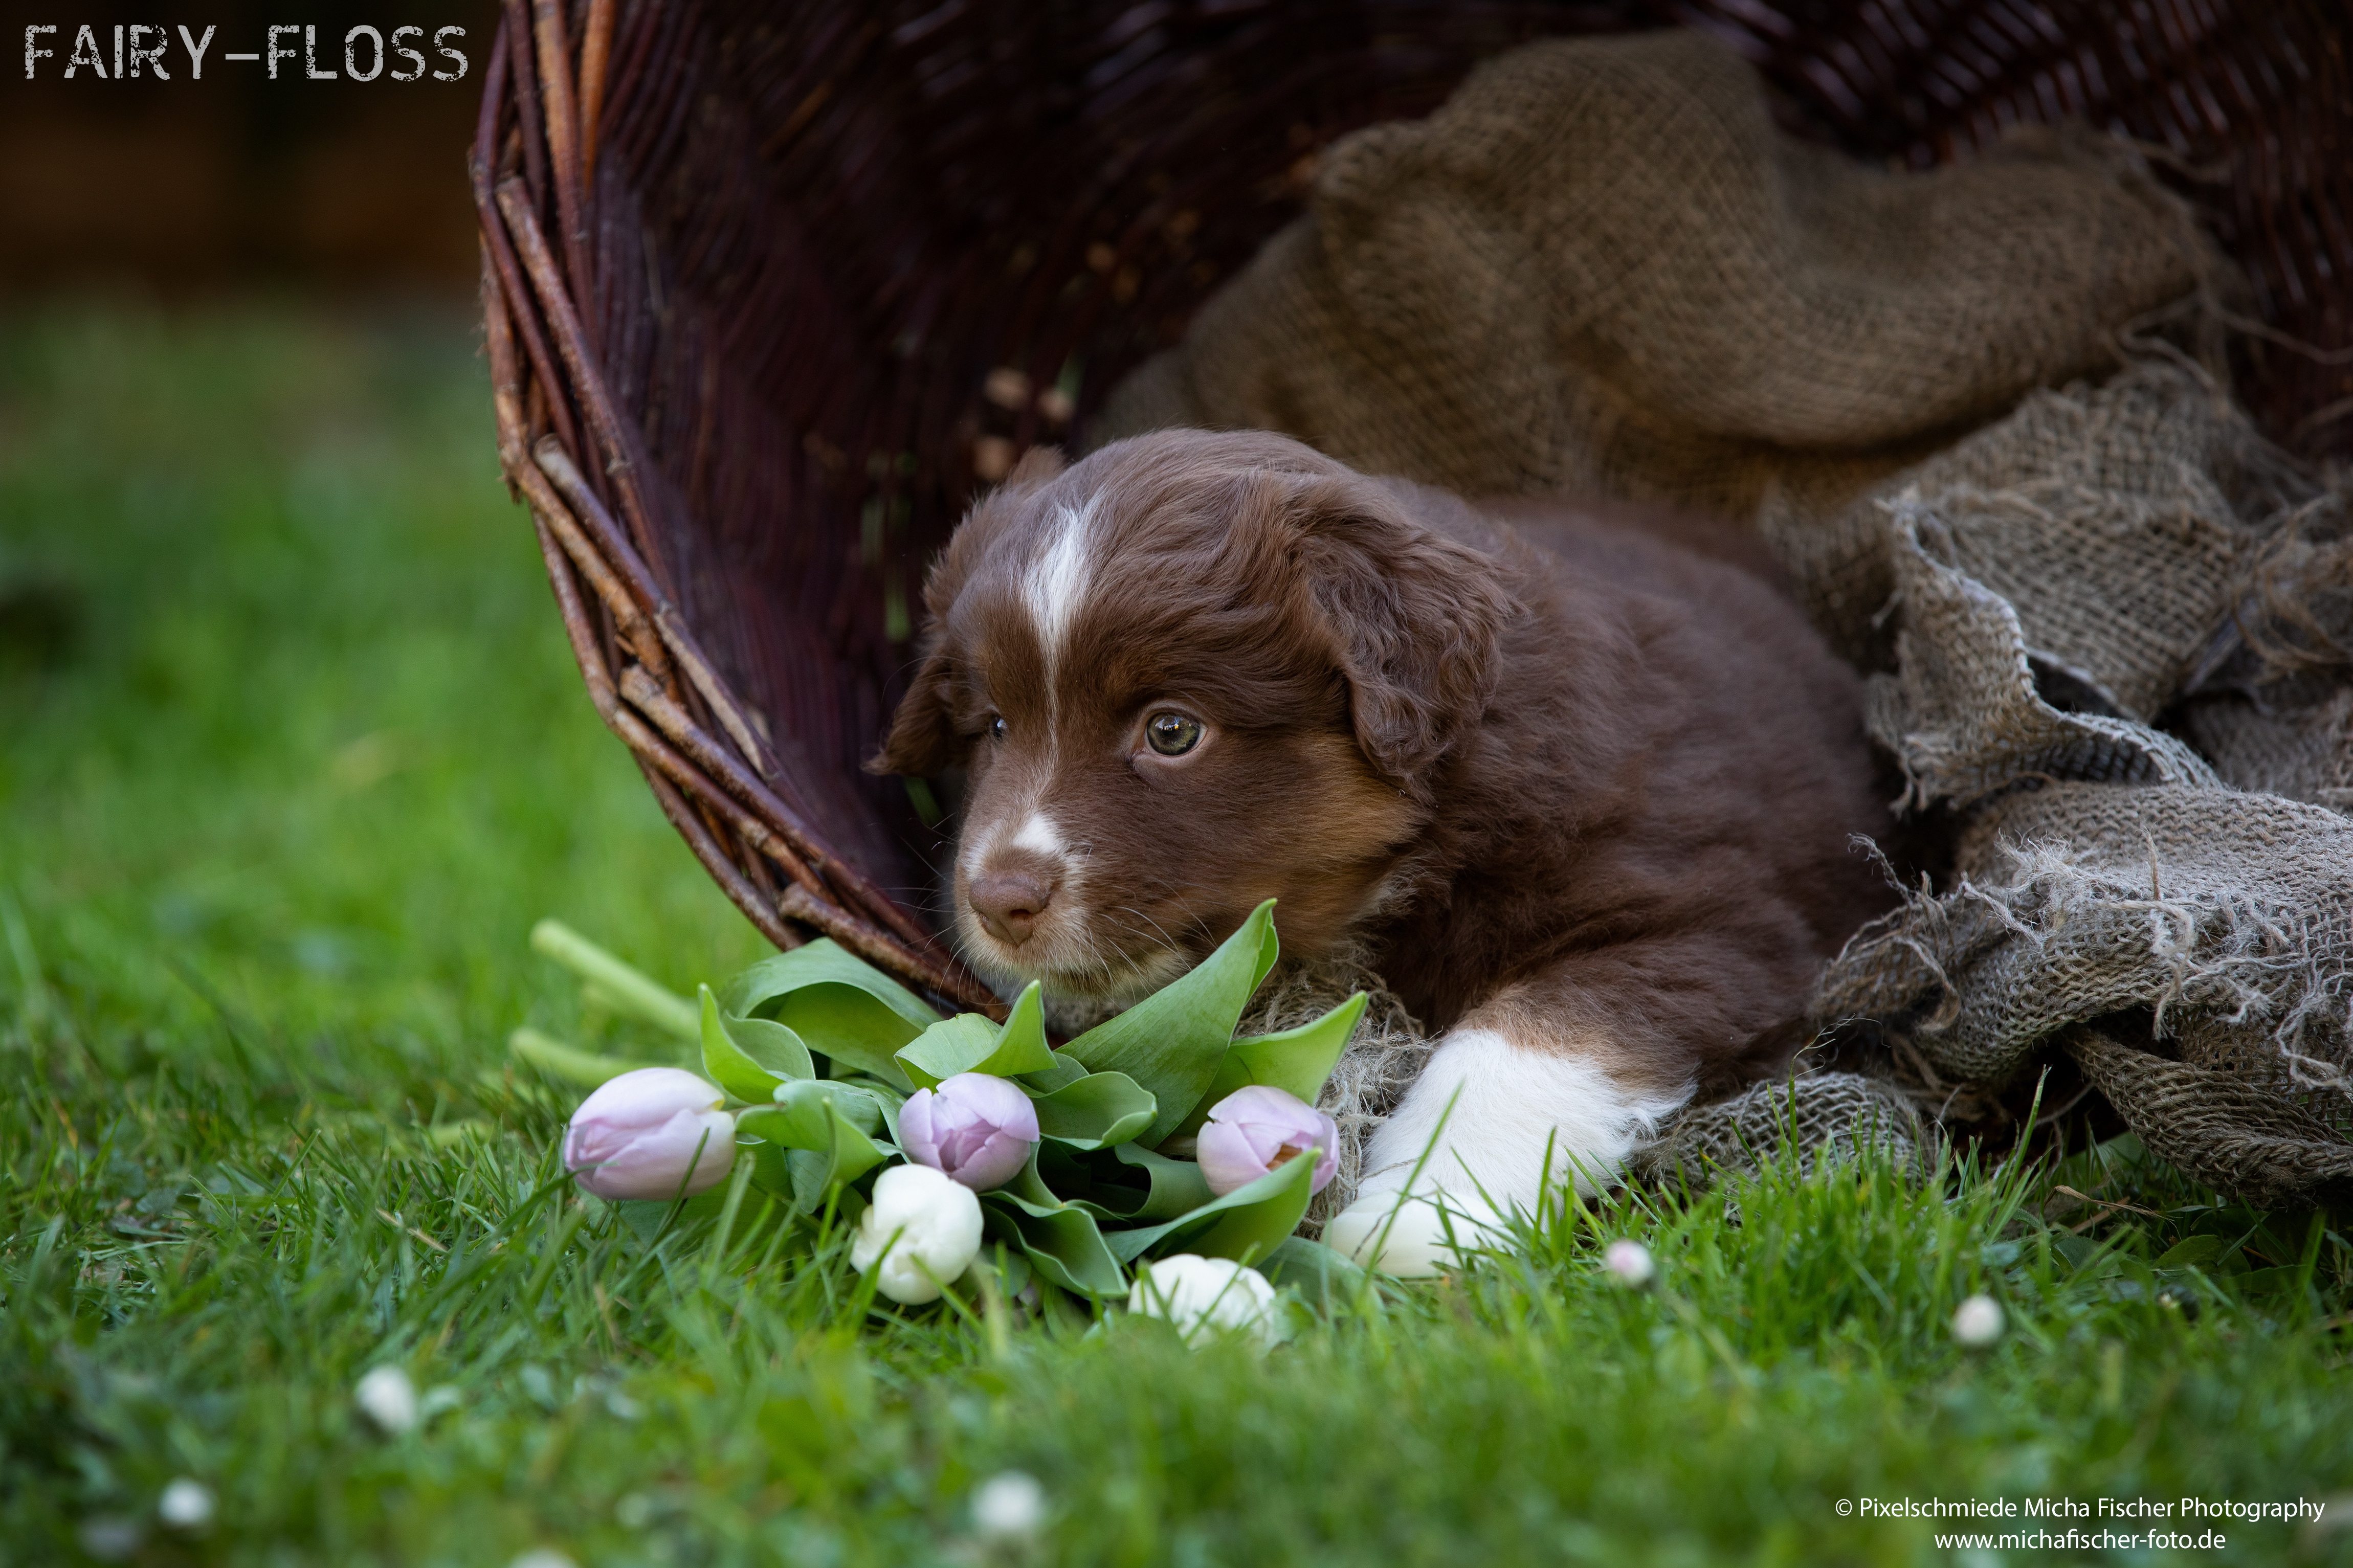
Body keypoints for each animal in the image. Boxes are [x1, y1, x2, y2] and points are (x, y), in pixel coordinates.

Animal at [884, 425, 1892, 1250]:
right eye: (997, 727)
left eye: (1172, 732)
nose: (999, 900)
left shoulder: (1717, 927)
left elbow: (1521, 1045)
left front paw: (1420, 1221)